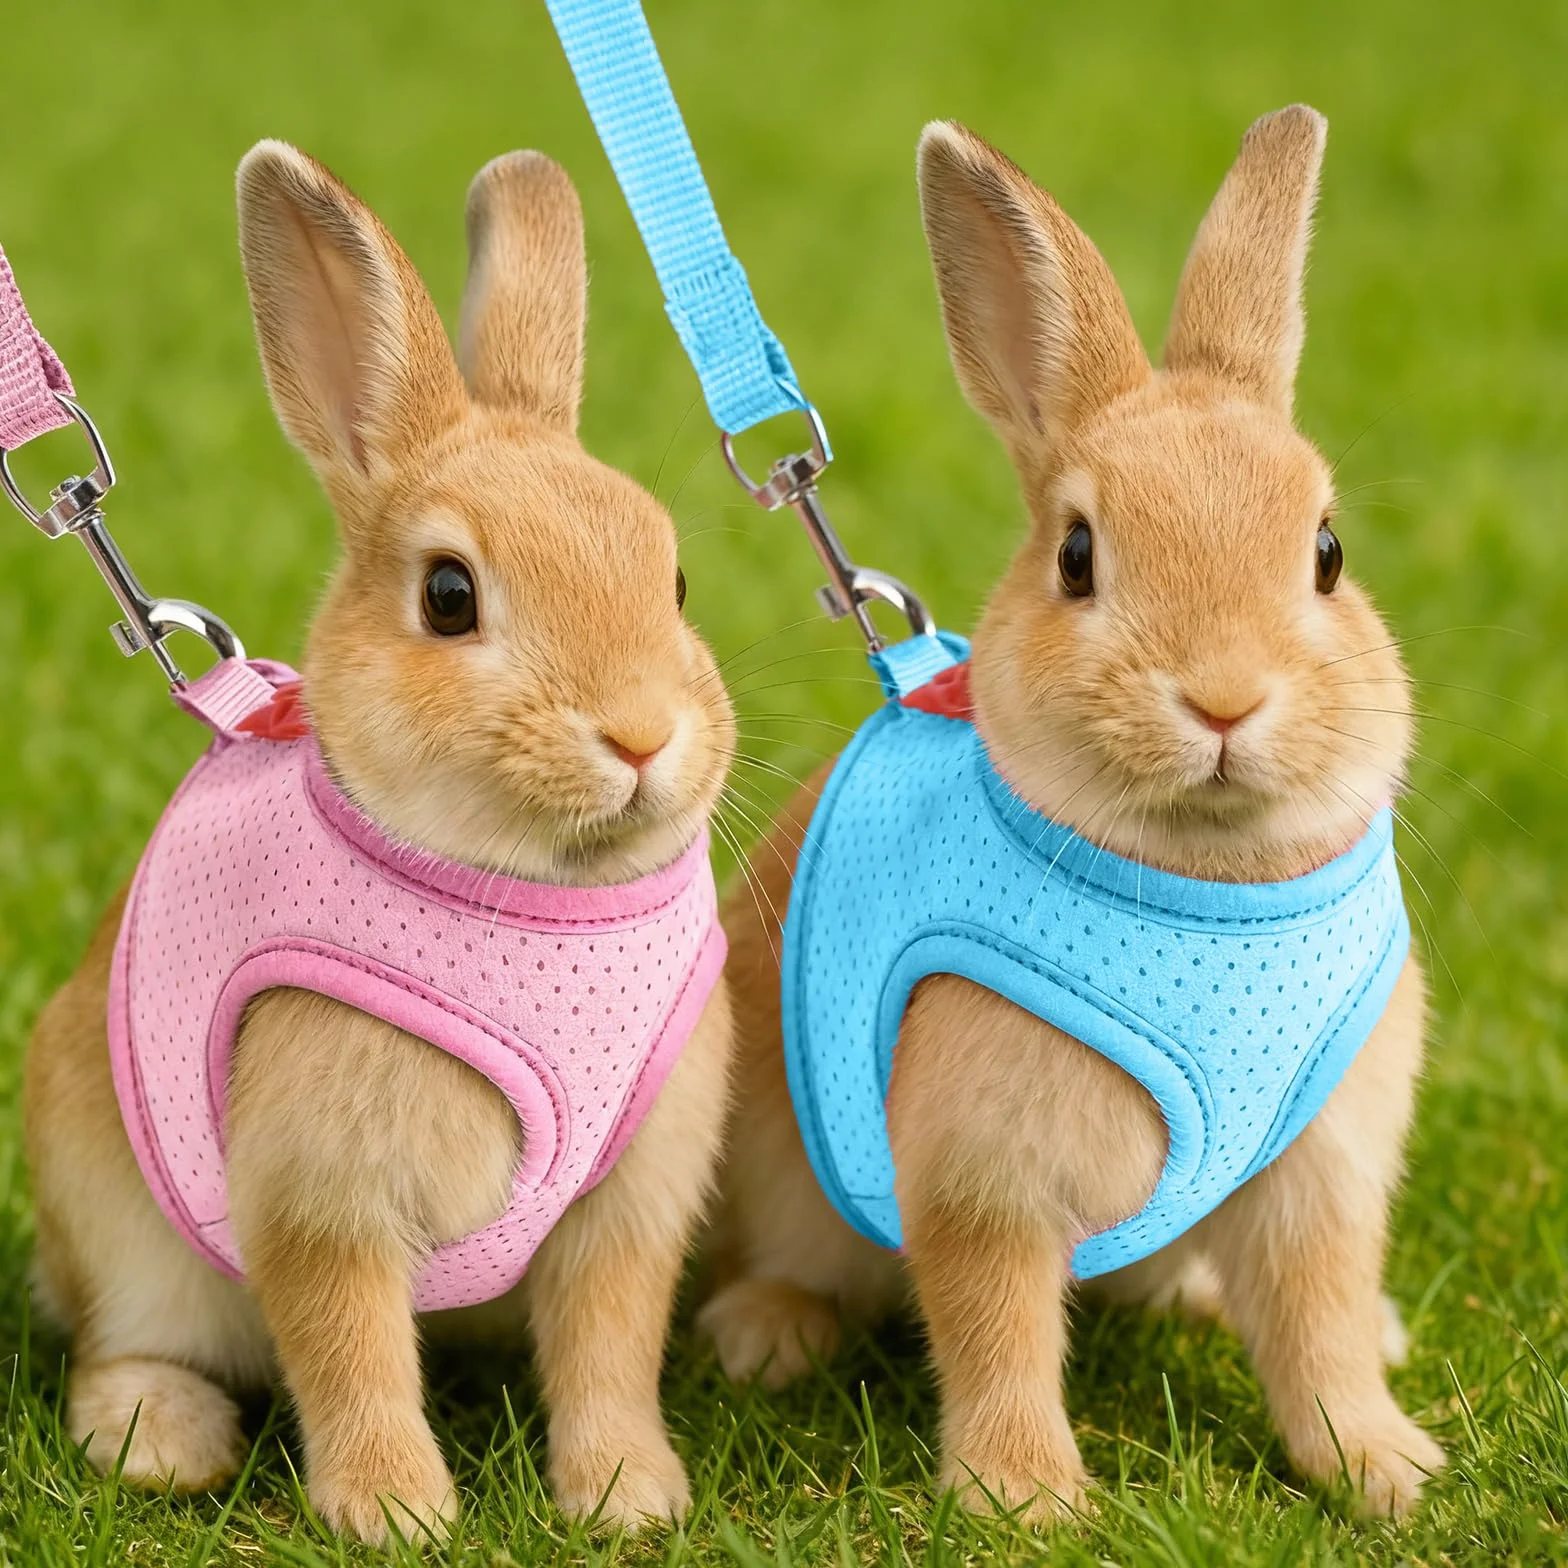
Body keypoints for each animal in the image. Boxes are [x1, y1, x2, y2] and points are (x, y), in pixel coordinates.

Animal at [24, 141, 736, 1545]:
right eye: (448, 596)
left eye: (675, 582)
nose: (640, 733)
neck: (523, 897)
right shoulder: (319, 1189)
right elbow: (348, 1345)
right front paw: (395, 1511)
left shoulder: (627, 1199)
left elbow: (609, 1345)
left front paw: (626, 1496)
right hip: (122, 1228)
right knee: (121, 1342)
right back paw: (164, 1443)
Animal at [700, 106, 1445, 1521]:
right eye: (1077, 556)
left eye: (1325, 553)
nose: (1222, 697)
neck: (1198, 892)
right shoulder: (979, 1168)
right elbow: (994, 1324)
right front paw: (1025, 1496)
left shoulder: (1318, 1170)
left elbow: (1315, 1317)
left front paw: (1382, 1464)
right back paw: (764, 1332)